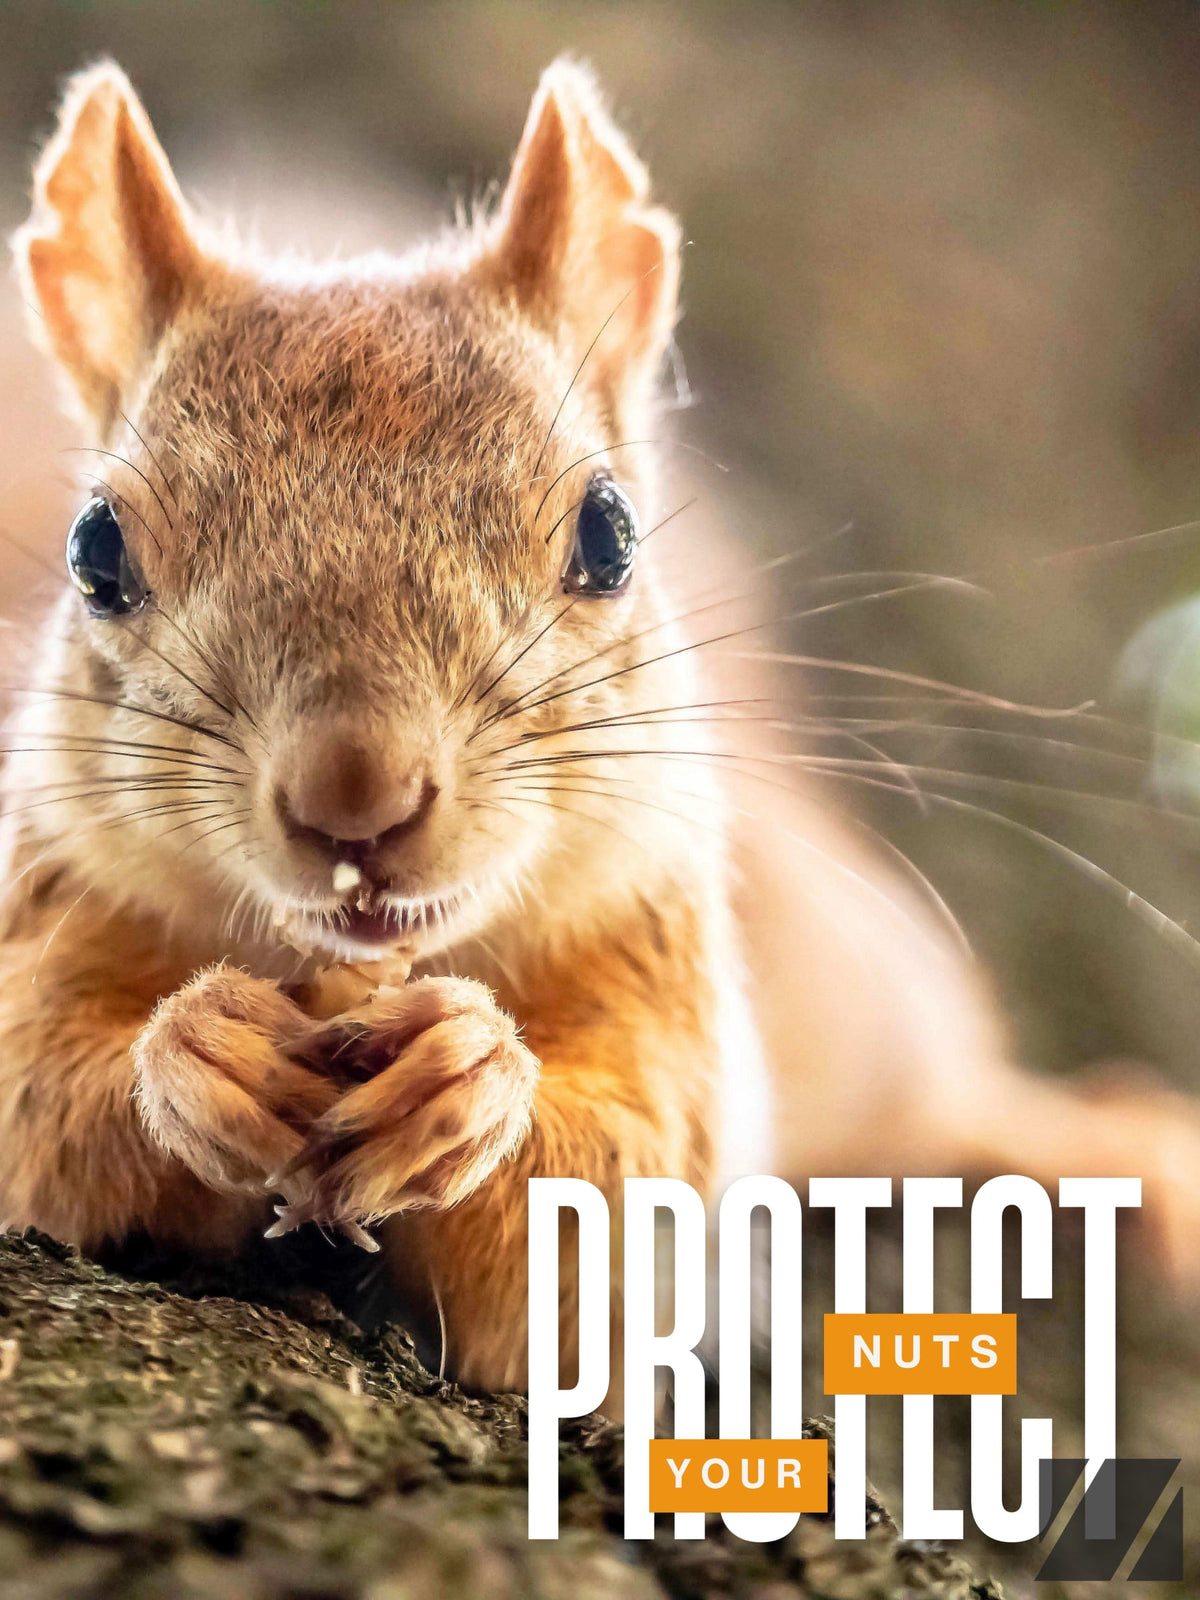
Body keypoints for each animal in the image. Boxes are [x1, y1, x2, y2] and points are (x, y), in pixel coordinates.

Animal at [5, 59, 1200, 1417]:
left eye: (611, 532)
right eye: (96, 550)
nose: (355, 793)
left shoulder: (656, 949)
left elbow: (607, 1236)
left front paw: (474, 1077)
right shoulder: (55, 902)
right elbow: (39, 1122)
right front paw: (203, 1051)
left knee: (945, 1085)